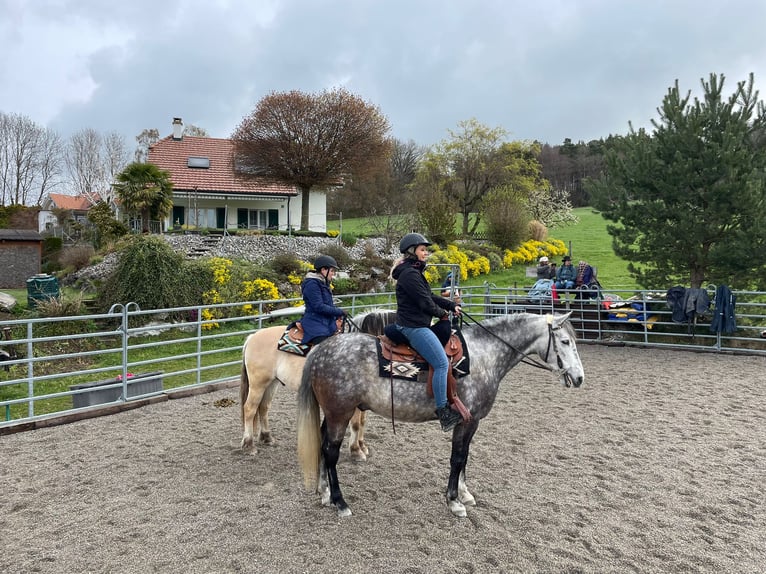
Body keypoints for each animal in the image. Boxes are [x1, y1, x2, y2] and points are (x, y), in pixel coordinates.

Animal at [239, 309, 397, 460]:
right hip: (258, 384)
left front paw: (362, 446)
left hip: (271, 383)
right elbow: (356, 424)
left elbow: (363, 421)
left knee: (263, 407)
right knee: (249, 409)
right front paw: (356, 451)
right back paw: (249, 445)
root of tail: (252, 337)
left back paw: (267, 437)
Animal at [297, 312, 584, 517]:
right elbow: (457, 458)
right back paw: (340, 502)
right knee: (331, 452)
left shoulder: (472, 422)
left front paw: (464, 494)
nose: (580, 378)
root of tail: (320, 350)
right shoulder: (468, 420)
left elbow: (465, 457)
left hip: (333, 413)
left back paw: (324, 492)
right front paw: (454, 501)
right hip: (340, 413)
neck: (484, 355)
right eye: (565, 341)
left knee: (322, 445)